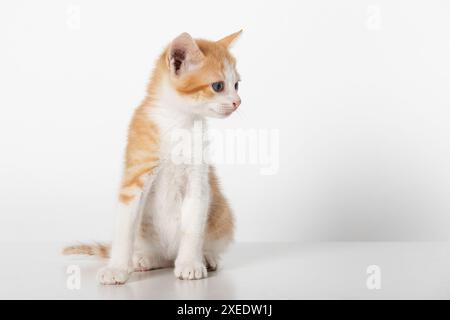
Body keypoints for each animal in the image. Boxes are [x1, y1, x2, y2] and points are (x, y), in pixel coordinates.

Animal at [63, 30, 243, 284]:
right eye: (218, 86)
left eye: (236, 84)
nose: (238, 102)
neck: (177, 121)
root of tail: (168, 255)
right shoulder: (134, 177)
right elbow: (124, 229)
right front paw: (117, 268)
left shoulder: (198, 180)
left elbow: (193, 227)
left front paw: (190, 263)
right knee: (157, 256)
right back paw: (143, 260)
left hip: (222, 213)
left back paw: (205, 257)